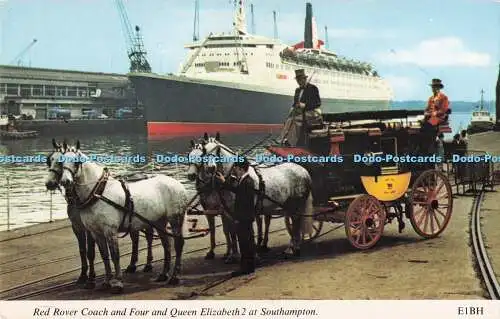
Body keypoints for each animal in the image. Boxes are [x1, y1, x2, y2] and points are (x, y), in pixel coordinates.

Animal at [45, 139, 188, 292]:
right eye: (56, 161)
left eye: (76, 162)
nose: (64, 181)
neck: (98, 193)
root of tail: (177, 183)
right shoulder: (95, 232)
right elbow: (104, 255)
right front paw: (107, 281)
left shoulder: (110, 230)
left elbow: (115, 255)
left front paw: (118, 282)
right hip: (159, 221)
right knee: (166, 244)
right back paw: (163, 274)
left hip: (175, 219)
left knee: (178, 244)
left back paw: (174, 277)